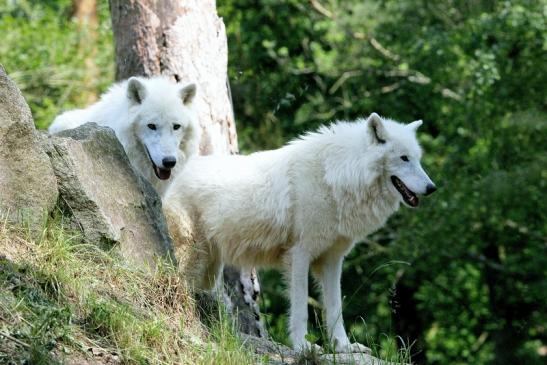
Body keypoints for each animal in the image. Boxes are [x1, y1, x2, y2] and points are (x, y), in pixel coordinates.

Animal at [163, 113, 436, 352]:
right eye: (404, 158)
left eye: (418, 158)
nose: (432, 188)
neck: (336, 178)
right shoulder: (299, 256)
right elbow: (301, 310)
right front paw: (304, 346)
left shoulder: (332, 261)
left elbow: (335, 308)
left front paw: (344, 347)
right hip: (191, 259)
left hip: (209, 269)